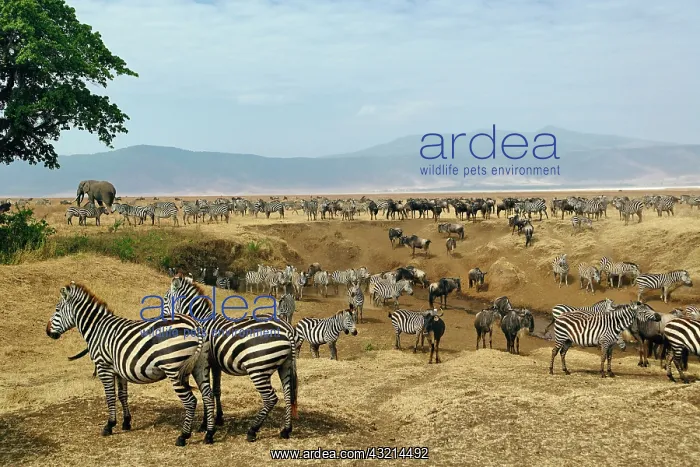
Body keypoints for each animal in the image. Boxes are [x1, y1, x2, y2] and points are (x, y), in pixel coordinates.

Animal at [47, 282, 215, 446]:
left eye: (57, 310)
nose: (47, 332)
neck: (97, 329)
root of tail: (195, 325)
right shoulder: (119, 370)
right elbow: (122, 395)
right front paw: (126, 422)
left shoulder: (104, 367)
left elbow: (110, 396)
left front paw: (109, 425)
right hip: (200, 366)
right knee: (207, 395)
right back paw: (209, 434)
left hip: (173, 369)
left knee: (191, 401)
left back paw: (183, 436)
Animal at [164, 274, 299, 441]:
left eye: (165, 299)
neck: (202, 321)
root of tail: (286, 328)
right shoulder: (215, 364)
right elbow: (216, 390)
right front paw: (218, 419)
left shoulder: (207, 363)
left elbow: (207, 392)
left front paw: (205, 424)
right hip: (285, 365)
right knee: (287, 394)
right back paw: (286, 430)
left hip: (258, 369)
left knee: (270, 398)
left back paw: (252, 430)